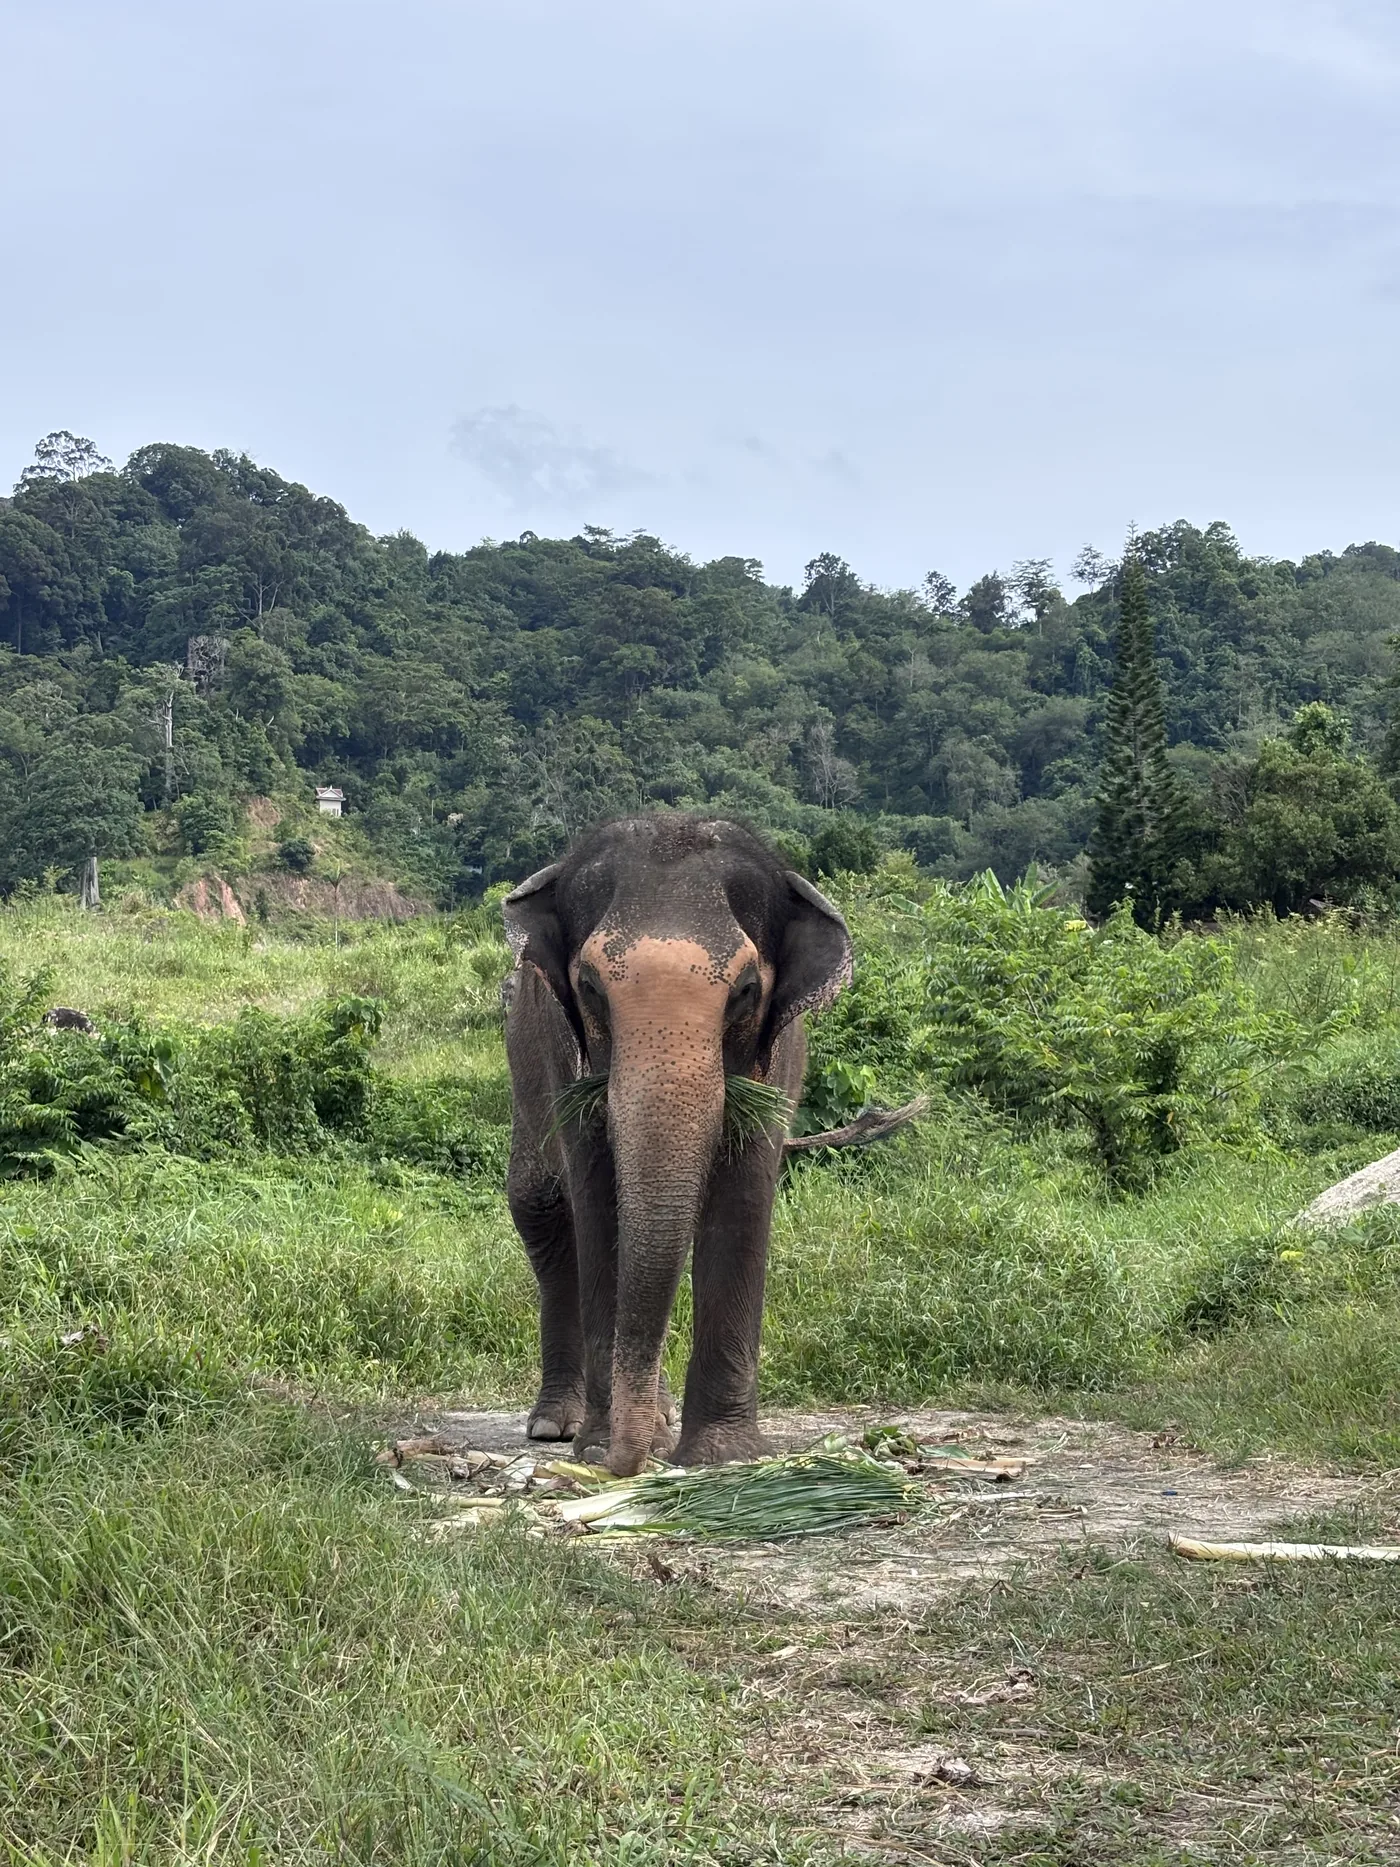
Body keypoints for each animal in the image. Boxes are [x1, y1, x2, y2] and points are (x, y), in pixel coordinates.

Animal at [502, 813, 852, 1477]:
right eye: (590, 986)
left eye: (745, 989)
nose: (627, 1464)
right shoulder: (564, 1051)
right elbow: (599, 1201)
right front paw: (599, 1446)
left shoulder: (781, 1057)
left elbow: (744, 1193)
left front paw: (724, 1457)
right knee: (539, 1202)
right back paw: (560, 1426)